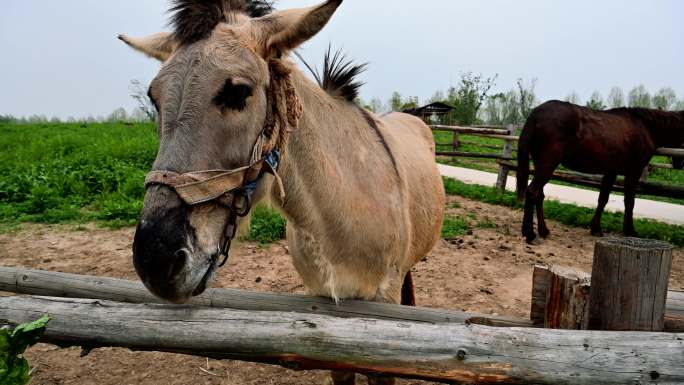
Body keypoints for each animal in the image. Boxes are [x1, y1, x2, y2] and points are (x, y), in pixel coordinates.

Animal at [520, 100, 684, 243]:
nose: (679, 163)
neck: (644, 126)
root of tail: (536, 114)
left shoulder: (611, 171)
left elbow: (603, 199)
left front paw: (596, 228)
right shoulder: (633, 172)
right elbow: (629, 202)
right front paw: (630, 230)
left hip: (541, 164)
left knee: (539, 195)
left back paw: (543, 231)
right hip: (548, 165)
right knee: (532, 191)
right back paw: (530, 234)